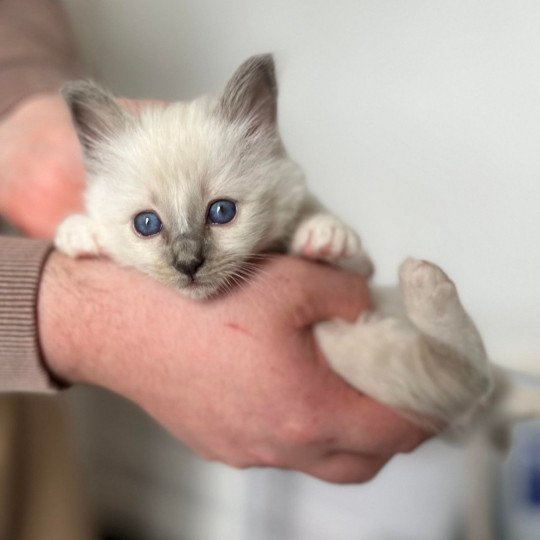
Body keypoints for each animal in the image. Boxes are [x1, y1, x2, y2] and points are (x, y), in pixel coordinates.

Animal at [53, 53, 540, 438]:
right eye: (147, 224)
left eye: (222, 212)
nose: (188, 264)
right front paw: (79, 233)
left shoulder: (359, 271)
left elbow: (330, 233)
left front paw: (322, 236)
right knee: (464, 375)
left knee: (471, 370)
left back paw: (421, 277)